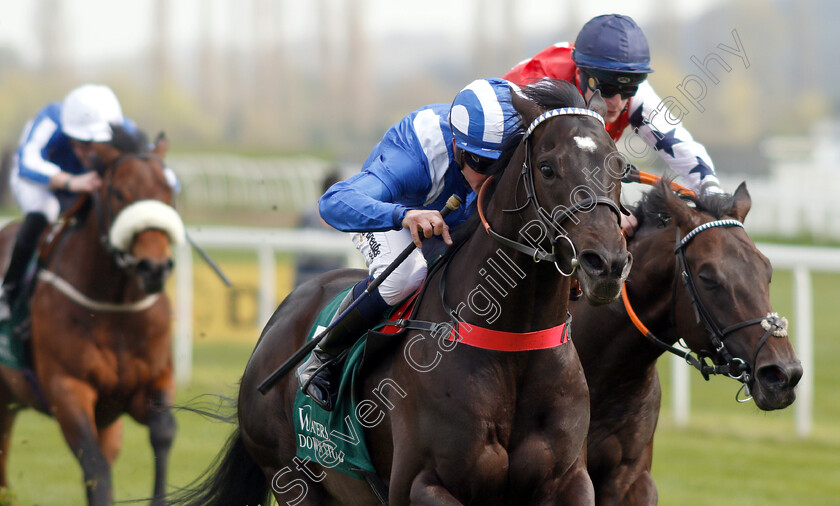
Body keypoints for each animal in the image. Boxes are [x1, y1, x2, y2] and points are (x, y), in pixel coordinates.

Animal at [0, 127, 185, 506]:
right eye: (118, 193)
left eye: (169, 192)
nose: (154, 268)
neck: (113, 308)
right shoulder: (68, 389)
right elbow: (96, 468)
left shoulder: (154, 380)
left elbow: (163, 433)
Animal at [171, 81, 632, 504]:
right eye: (548, 168)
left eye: (619, 166)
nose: (606, 263)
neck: (512, 345)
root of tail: (278, 321)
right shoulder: (419, 483)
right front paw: (421, 221)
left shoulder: (569, 480)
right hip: (292, 477)